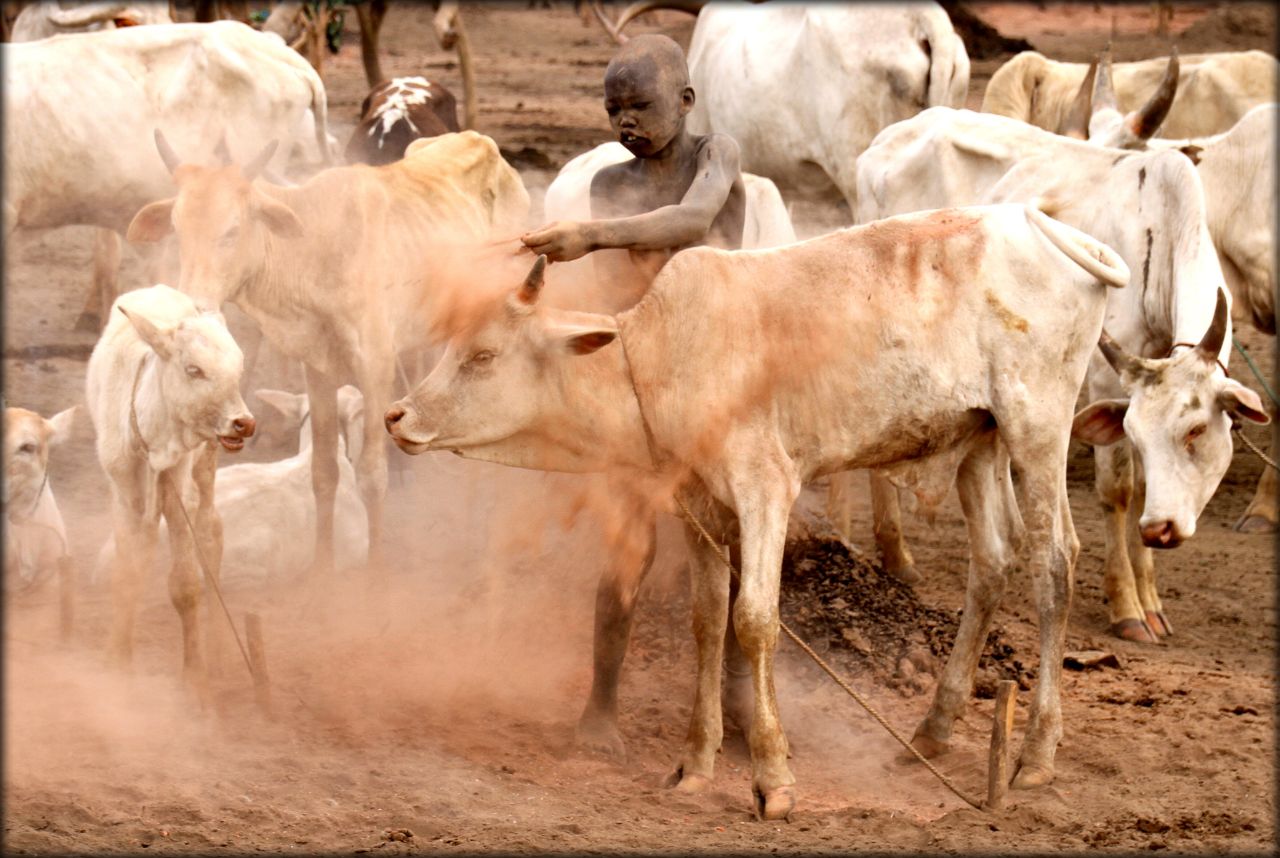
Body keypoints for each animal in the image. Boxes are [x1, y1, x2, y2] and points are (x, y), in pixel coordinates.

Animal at [85, 285, 257, 691]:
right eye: (194, 369)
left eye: (238, 370)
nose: (243, 423)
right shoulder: (124, 493)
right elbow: (127, 576)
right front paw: (117, 660)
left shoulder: (180, 494)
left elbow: (185, 586)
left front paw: (194, 677)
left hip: (205, 465)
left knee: (211, 531)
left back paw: (218, 649)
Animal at [127, 131, 527, 581]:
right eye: (177, 230)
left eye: (231, 230)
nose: (192, 303)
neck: (315, 250)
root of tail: (481, 141)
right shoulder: (317, 371)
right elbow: (323, 472)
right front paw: (322, 568)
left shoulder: (375, 370)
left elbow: (371, 476)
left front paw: (374, 572)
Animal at [386, 204, 1131, 824]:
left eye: (484, 355)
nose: (397, 415)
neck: (655, 362)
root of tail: (1038, 222)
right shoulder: (696, 501)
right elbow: (706, 619)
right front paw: (694, 765)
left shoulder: (764, 486)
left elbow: (753, 621)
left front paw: (773, 778)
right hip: (977, 439)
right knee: (991, 564)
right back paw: (934, 729)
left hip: (1037, 426)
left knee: (1054, 565)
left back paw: (1034, 755)